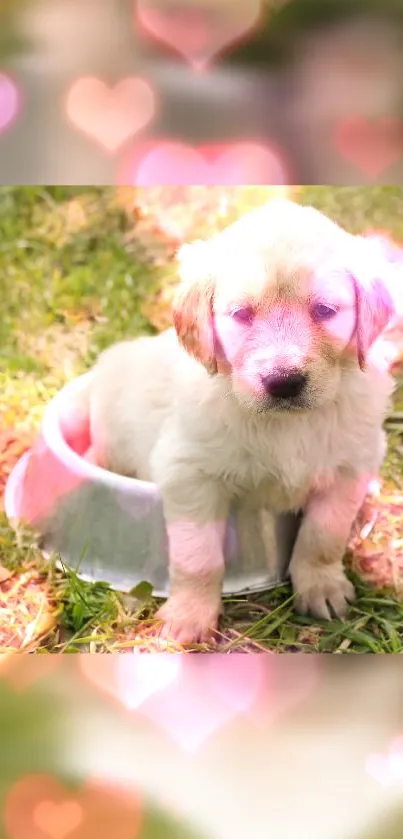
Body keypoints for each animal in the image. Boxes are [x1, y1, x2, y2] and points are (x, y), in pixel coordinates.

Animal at [86, 200, 398, 648]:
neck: (288, 425)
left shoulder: (349, 468)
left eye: (324, 310)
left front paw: (321, 587)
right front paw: (189, 616)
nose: (283, 380)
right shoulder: (189, 473)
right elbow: (198, 557)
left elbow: (323, 536)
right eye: (241, 314)